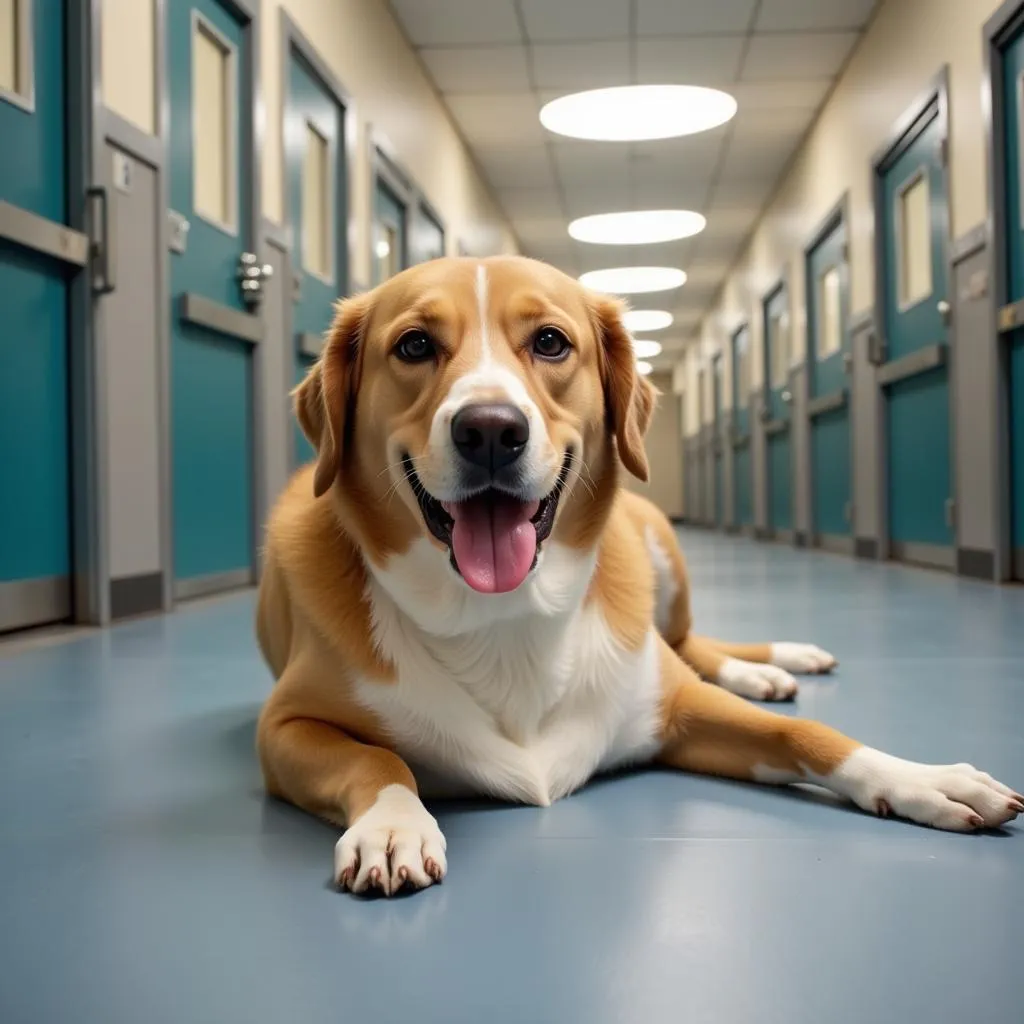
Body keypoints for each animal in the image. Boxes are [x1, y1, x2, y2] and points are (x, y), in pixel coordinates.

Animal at [251, 256, 1019, 897]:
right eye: (414, 346)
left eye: (551, 342)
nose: (491, 429)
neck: (503, 617)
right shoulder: (285, 726)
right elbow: (379, 764)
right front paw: (393, 825)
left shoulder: (675, 706)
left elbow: (806, 737)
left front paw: (922, 779)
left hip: (660, 551)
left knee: (691, 645)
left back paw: (769, 666)